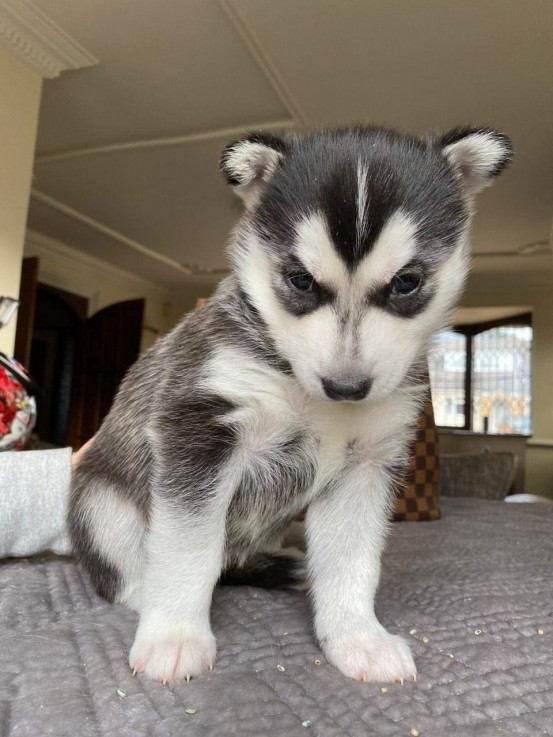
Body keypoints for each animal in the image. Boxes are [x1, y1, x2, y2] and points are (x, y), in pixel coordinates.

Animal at [68, 126, 508, 684]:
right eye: (300, 280)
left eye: (406, 282)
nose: (346, 387)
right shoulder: (201, 429)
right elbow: (186, 548)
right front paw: (174, 635)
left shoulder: (365, 465)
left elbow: (351, 560)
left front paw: (357, 638)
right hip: (101, 504)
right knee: (130, 571)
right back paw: (150, 599)